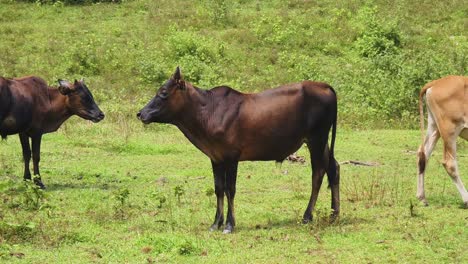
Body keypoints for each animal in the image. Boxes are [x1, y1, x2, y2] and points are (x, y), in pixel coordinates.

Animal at [137, 67, 338, 233]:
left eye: (163, 92)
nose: (140, 113)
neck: (209, 112)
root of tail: (324, 85)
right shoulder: (215, 158)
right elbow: (219, 188)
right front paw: (215, 224)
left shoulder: (231, 157)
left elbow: (230, 189)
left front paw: (229, 225)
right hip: (321, 141)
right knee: (333, 168)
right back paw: (334, 214)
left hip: (317, 138)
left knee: (318, 173)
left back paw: (307, 216)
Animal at [418, 75, 466, 207]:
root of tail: (435, 83)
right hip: (450, 129)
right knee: (450, 163)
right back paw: (466, 199)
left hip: (434, 126)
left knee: (423, 154)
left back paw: (422, 197)